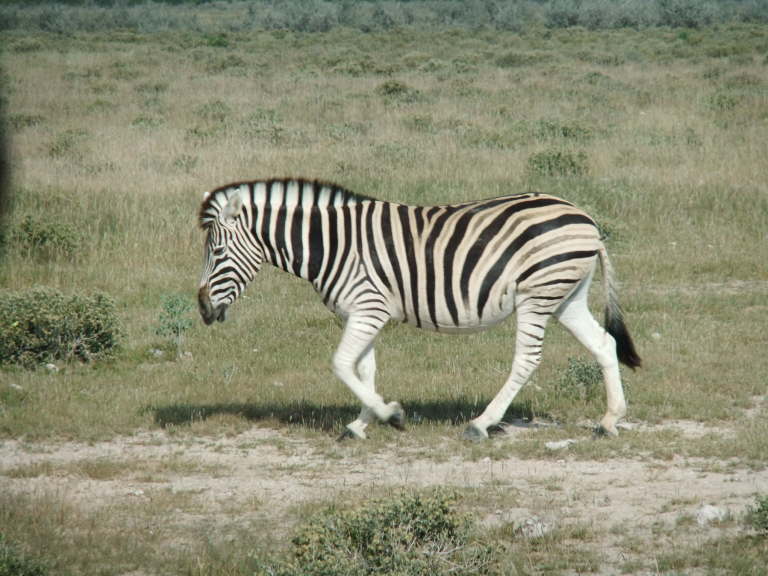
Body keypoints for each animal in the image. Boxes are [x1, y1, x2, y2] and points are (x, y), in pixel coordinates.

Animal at [197, 178, 640, 441]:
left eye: (217, 253)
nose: (201, 308)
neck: (334, 244)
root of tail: (586, 220)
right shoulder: (360, 312)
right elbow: (363, 369)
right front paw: (362, 423)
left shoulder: (369, 308)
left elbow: (341, 364)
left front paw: (390, 414)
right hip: (566, 296)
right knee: (604, 344)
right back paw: (609, 420)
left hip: (537, 294)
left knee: (527, 359)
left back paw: (482, 423)